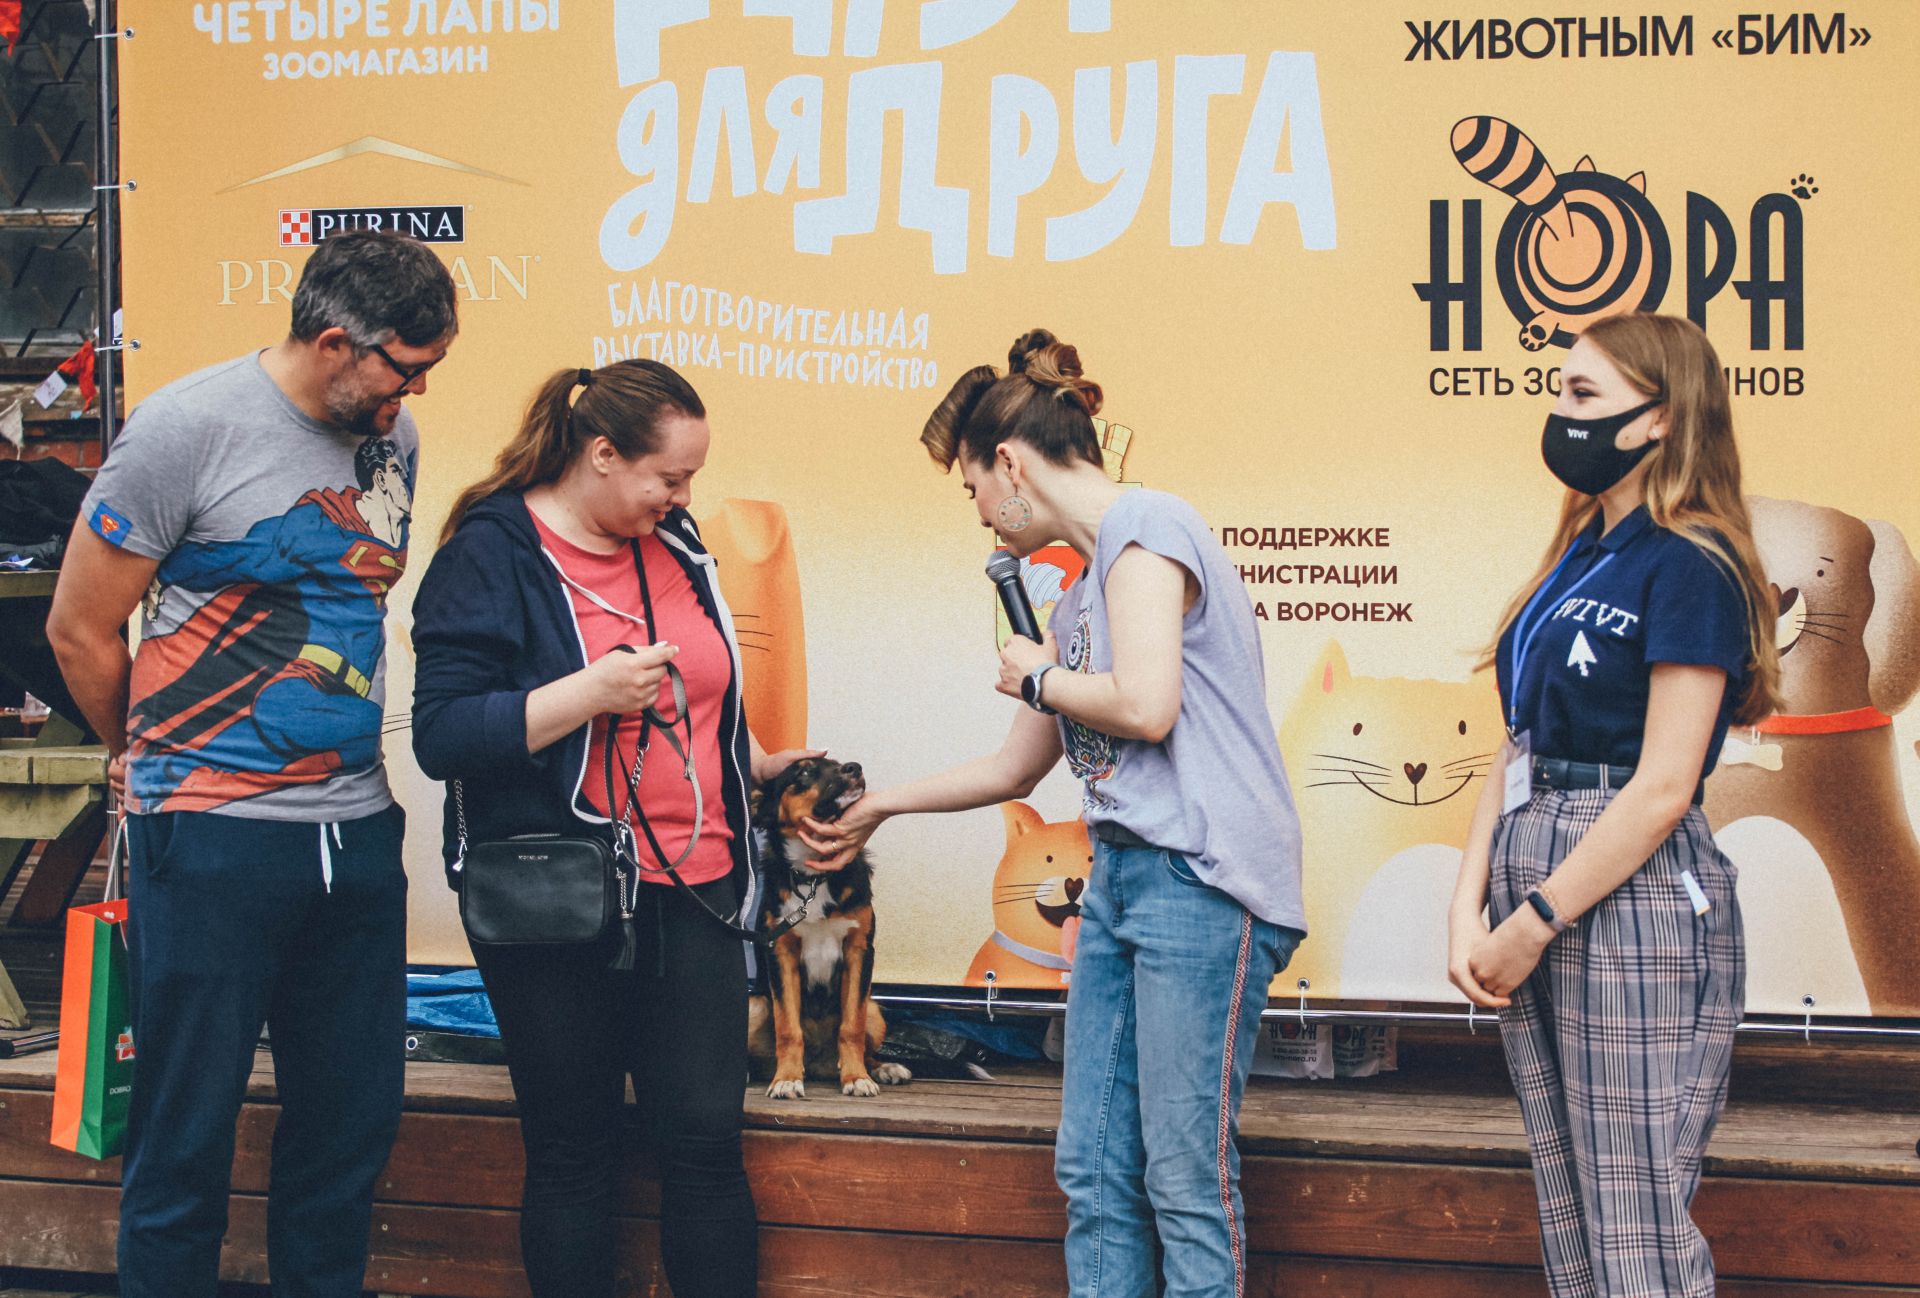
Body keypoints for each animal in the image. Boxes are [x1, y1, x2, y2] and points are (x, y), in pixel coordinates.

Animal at [746, 757, 912, 1098]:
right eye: (804, 771)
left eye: (835, 762)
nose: (854, 767)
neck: (814, 876)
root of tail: (818, 1063)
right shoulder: (780, 951)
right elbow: (788, 1028)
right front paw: (786, 1079)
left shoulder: (859, 949)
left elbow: (851, 1027)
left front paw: (857, 1077)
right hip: (754, 1005)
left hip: (875, 1009)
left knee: (866, 1045)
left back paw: (884, 1068)